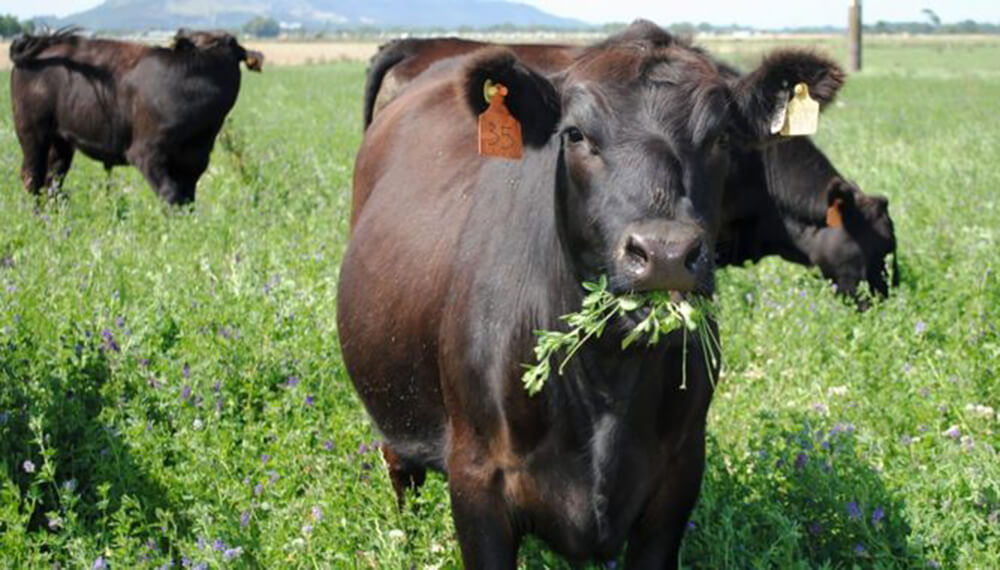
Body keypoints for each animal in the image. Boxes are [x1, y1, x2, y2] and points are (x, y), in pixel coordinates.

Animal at [9, 28, 264, 204]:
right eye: (195, 45)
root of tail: (42, 44)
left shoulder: (194, 161)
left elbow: (186, 199)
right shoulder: (146, 153)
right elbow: (170, 194)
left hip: (60, 140)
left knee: (52, 181)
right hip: (31, 132)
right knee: (32, 178)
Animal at [338, 21, 844, 564]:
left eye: (721, 137)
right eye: (576, 134)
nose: (665, 252)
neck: (607, 376)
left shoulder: (678, 477)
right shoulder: (476, 479)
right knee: (401, 475)